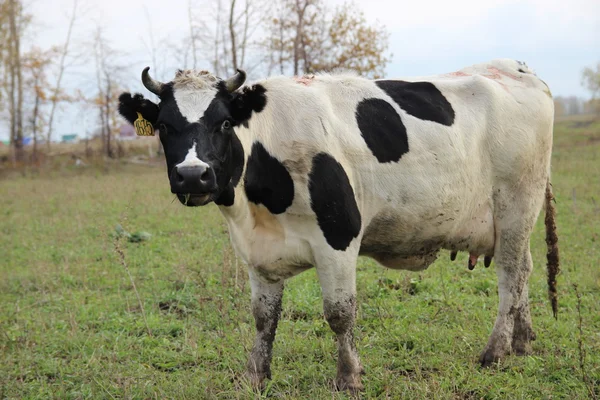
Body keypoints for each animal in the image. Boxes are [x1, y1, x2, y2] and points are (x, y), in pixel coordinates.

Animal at [117, 57, 556, 392]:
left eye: (224, 122)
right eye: (165, 126)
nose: (193, 176)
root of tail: (515, 67)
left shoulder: (339, 238)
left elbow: (339, 313)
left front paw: (349, 377)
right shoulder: (258, 252)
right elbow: (263, 317)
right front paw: (255, 376)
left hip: (517, 202)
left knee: (510, 274)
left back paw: (495, 351)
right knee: (525, 268)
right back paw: (523, 341)